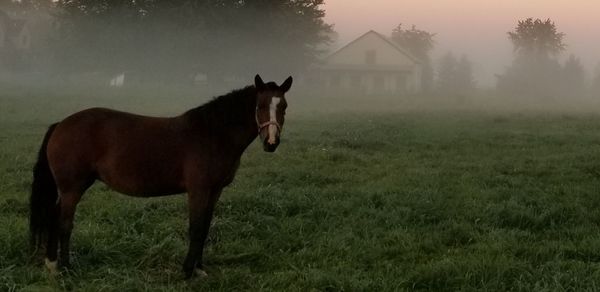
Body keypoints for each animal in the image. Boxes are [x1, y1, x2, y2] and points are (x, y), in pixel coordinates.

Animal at [30, 74, 292, 278]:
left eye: (284, 107)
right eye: (260, 105)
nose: (271, 143)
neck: (212, 134)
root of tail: (61, 124)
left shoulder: (215, 190)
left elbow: (205, 228)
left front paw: (199, 268)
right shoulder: (198, 190)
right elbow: (196, 228)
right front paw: (187, 271)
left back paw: (53, 264)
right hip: (72, 188)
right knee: (63, 222)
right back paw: (63, 266)